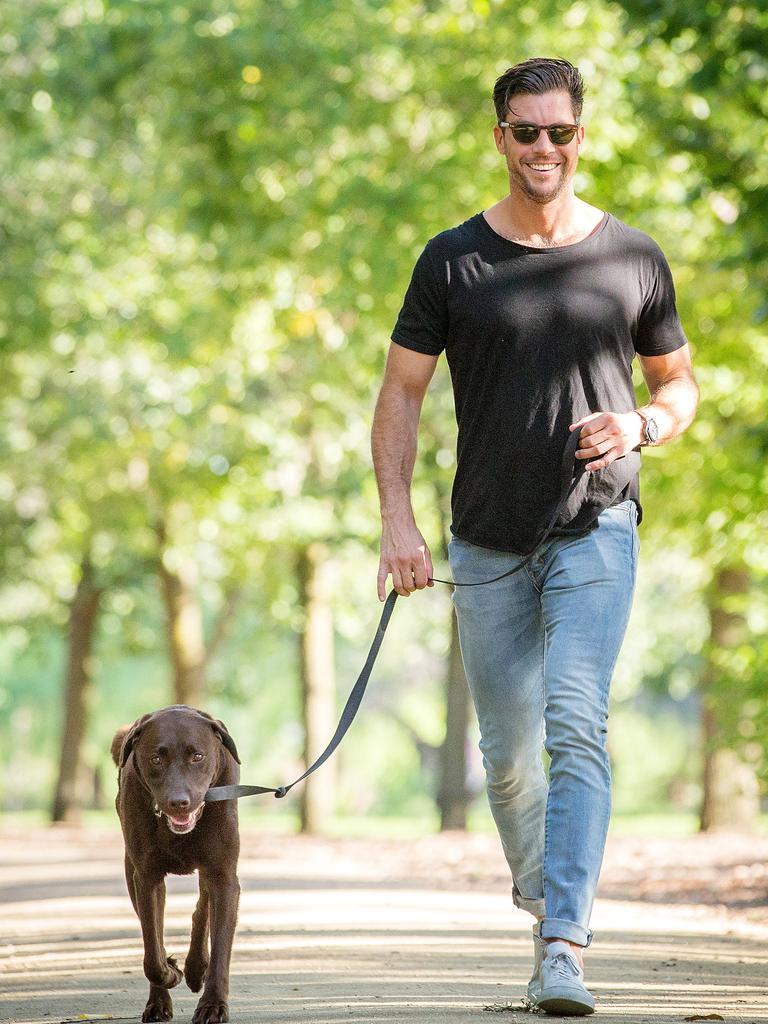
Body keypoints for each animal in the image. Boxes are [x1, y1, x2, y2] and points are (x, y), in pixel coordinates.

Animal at [111, 708, 241, 1019]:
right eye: (156, 758)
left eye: (198, 756)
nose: (179, 802)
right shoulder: (146, 878)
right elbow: (152, 954)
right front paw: (170, 972)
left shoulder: (224, 877)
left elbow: (221, 946)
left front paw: (213, 1006)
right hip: (131, 870)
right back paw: (160, 1000)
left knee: (202, 908)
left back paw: (196, 968)